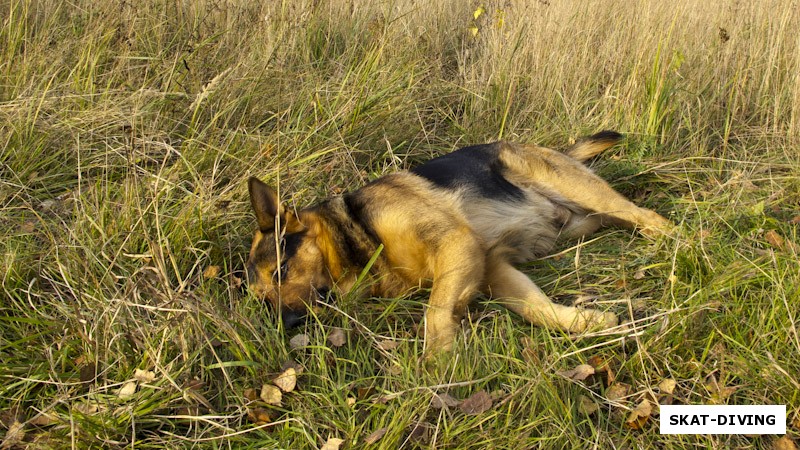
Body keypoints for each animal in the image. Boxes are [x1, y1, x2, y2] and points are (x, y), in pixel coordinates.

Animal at [247, 130, 672, 356]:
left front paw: (439, 362)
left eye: (281, 270)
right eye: (263, 300)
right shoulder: (491, 266)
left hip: (580, 188)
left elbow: (435, 311)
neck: (358, 231)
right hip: (580, 223)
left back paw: (679, 246)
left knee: (649, 217)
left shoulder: (455, 242)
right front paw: (590, 322)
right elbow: (538, 309)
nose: (287, 325)